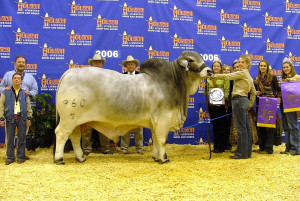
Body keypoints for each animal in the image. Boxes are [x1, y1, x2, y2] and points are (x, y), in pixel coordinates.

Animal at [54, 51, 209, 164]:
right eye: (191, 60)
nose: (209, 71)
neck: (173, 82)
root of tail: (69, 73)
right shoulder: (163, 120)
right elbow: (162, 140)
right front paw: (164, 159)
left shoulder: (155, 123)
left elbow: (156, 140)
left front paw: (156, 157)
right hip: (69, 118)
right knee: (61, 134)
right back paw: (59, 159)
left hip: (75, 121)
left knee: (74, 137)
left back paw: (80, 158)